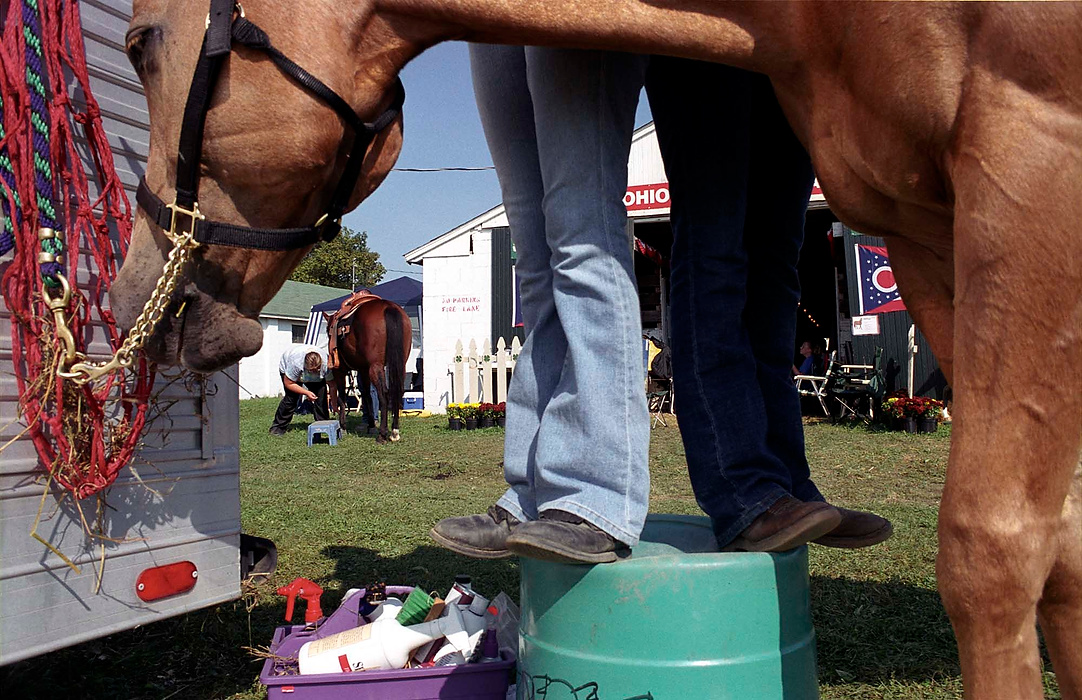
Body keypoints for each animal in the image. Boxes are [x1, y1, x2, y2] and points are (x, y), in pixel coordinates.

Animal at [324, 300, 408, 443]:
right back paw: (394, 431)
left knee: (384, 394)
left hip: (375, 367)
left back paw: (382, 434)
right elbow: (367, 396)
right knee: (397, 391)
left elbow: (341, 397)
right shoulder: (363, 370)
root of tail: (388, 306)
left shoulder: (339, 371)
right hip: (400, 364)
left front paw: (342, 426)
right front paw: (371, 425)